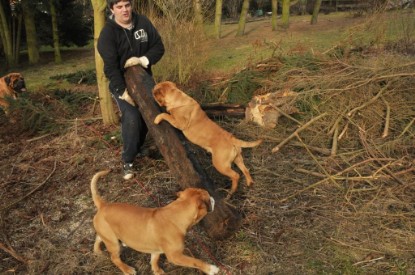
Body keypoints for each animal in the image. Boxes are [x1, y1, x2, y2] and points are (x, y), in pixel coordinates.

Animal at [90, 170, 219, 275]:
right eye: (208, 197)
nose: (213, 198)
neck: (176, 213)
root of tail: (103, 205)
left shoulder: (156, 250)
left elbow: (154, 259)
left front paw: (156, 270)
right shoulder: (175, 256)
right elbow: (195, 261)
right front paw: (210, 269)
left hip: (108, 235)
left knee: (99, 237)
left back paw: (97, 251)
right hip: (114, 243)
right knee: (114, 258)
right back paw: (127, 269)